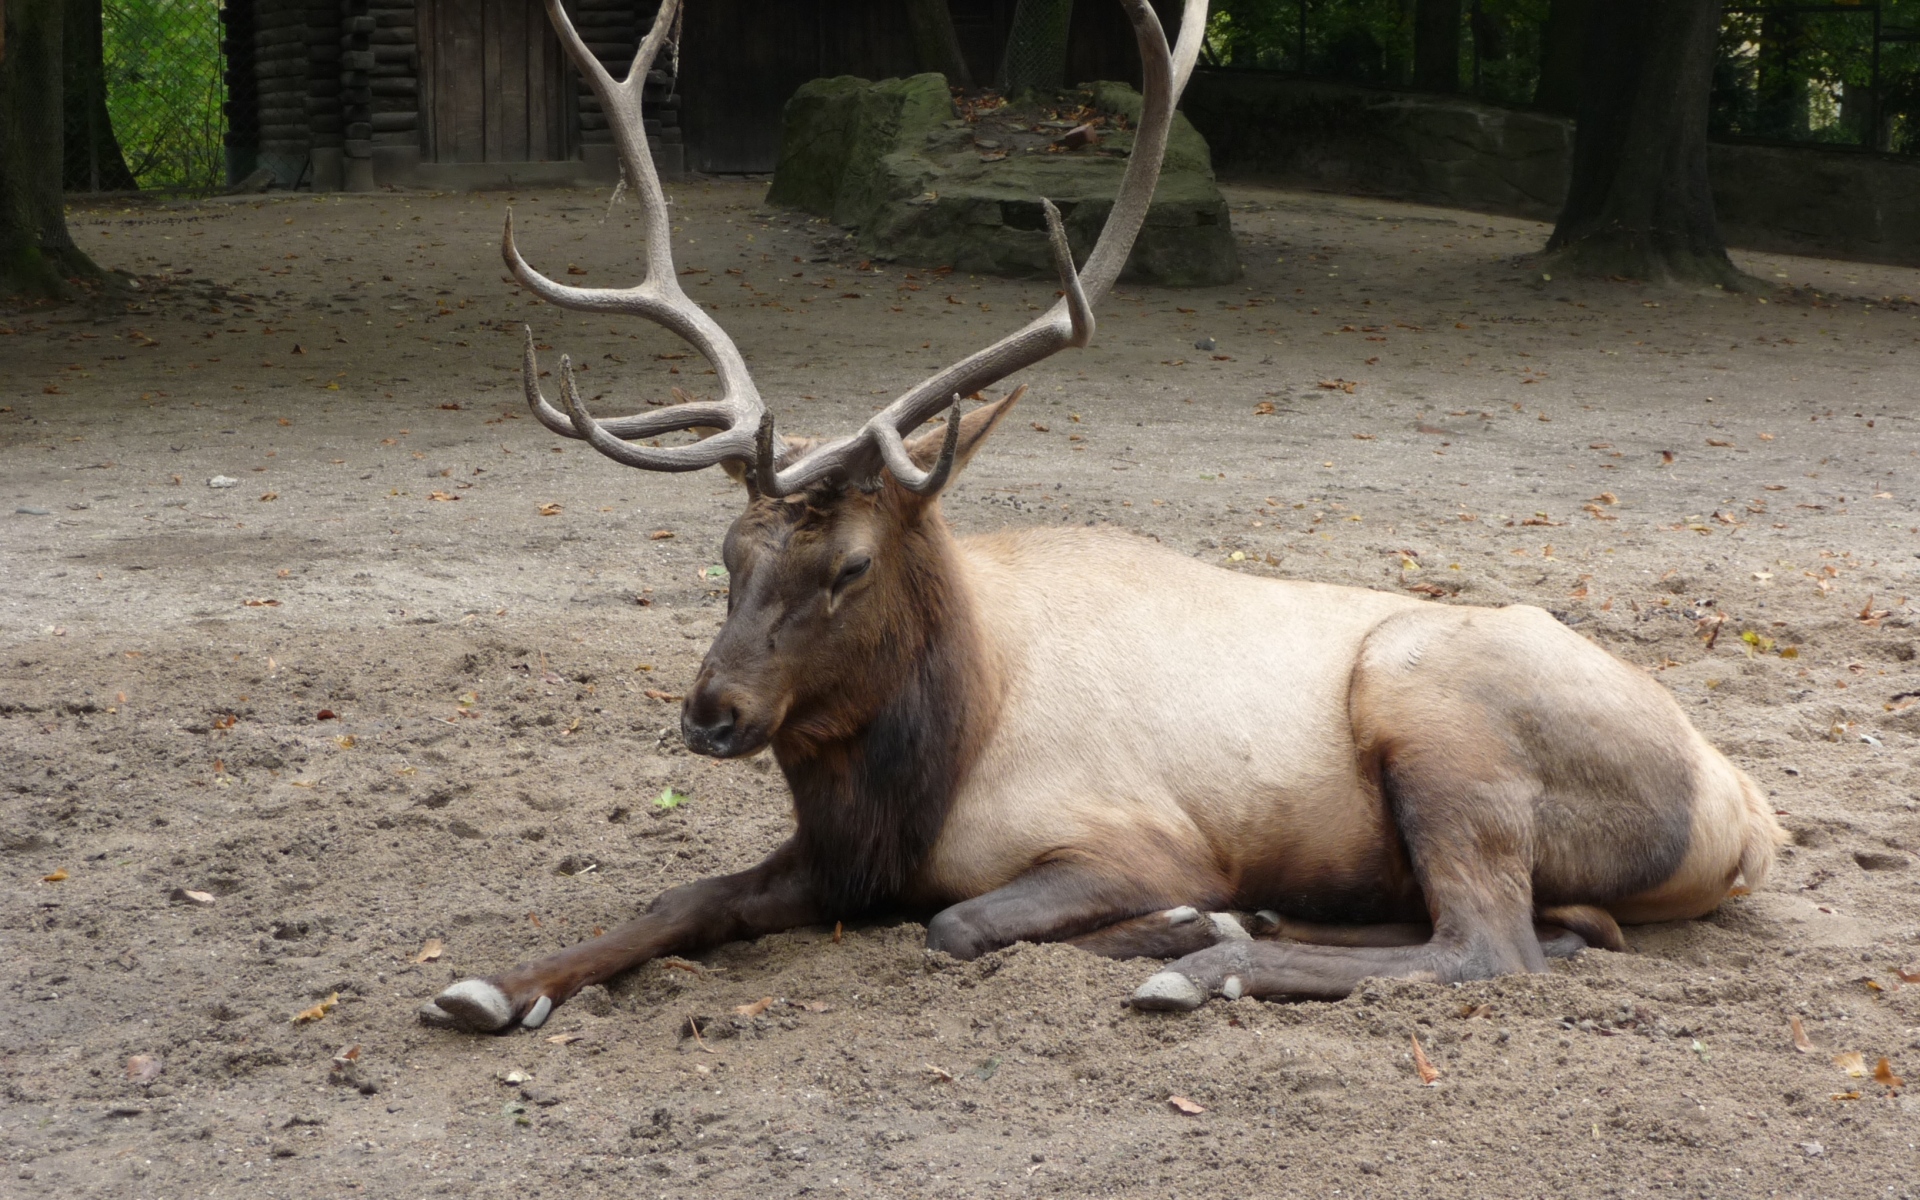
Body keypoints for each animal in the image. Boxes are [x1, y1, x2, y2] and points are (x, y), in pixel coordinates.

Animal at [420, 0, 1781, 1029]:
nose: (712, 714)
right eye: (726, 551)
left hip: (1434, 707)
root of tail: (1747, 811)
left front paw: (1184, 922)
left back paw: (1207, 958)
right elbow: (683, 899)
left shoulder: (1134, 836)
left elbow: (961, 921)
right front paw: (491, 985)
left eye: (849, 565)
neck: (926, 763)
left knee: (1488, 943)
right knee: (1540, 927)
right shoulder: (840, 857)